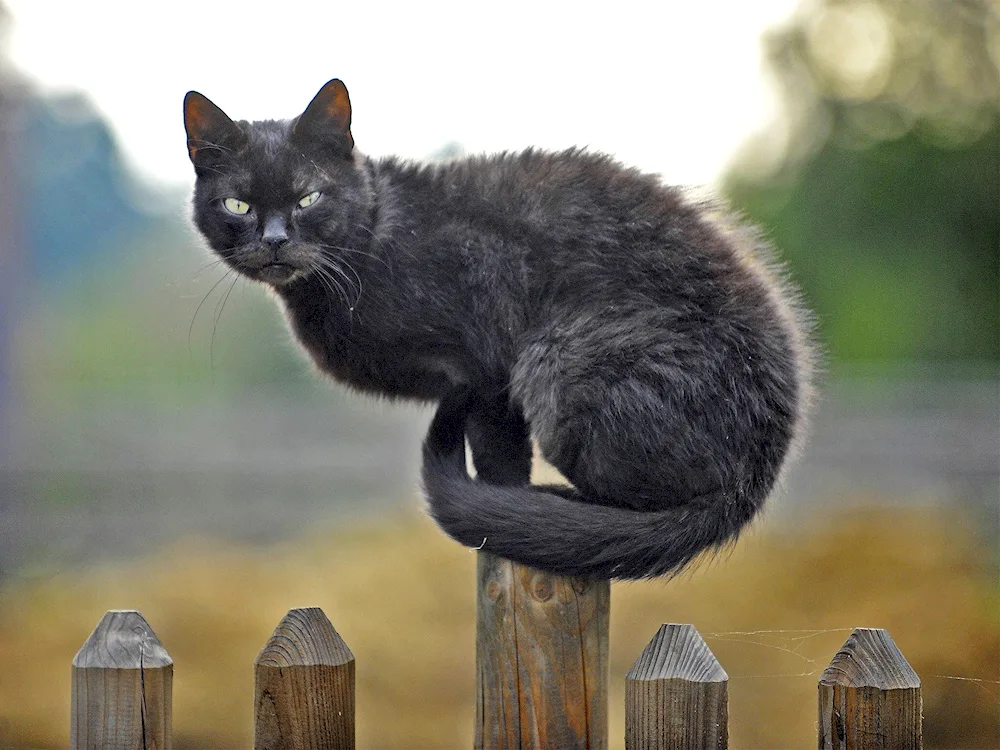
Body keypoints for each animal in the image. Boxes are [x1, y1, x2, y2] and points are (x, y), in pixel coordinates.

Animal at [186, 79, 812, 580]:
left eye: (308, 197)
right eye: (238, 204)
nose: (274, 240)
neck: (375, 241)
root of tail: (759, 472)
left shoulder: (487, 371)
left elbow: (499, 460)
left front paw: (497, 512)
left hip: (559, 357)